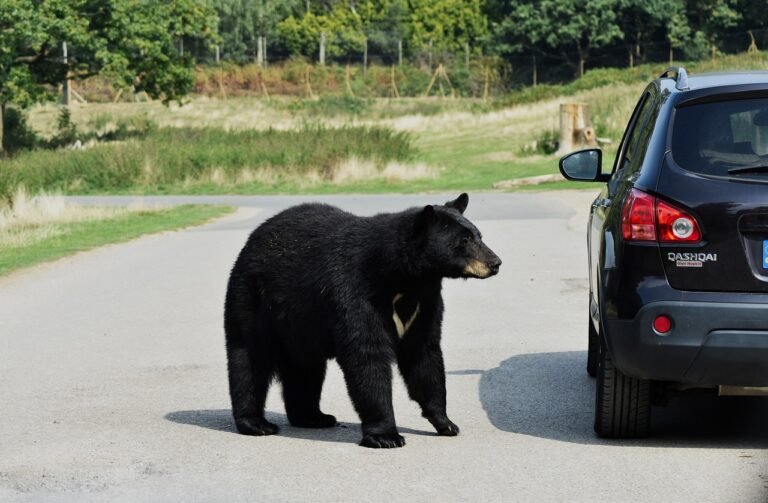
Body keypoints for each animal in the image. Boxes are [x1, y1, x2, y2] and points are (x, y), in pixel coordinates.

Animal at [224, 193, 501, 448]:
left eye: (479, 235)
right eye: (463, 241)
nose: (495, 263)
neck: (405, 279)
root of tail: (252, 239)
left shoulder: (425, 303)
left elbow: (424, 354)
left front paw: (446, 423)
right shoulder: (356, 292)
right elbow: (367, 356)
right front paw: (386, 435)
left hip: (301, 324)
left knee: (306, 369)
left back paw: (313, 417)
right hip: (251, 299)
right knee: (249, 359)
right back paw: (256, 423)